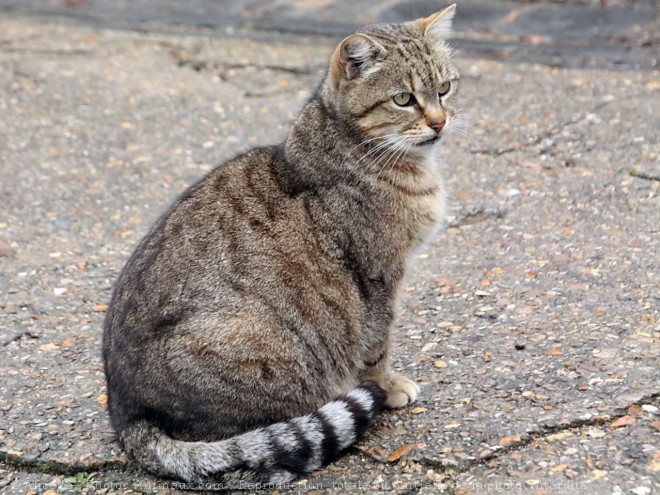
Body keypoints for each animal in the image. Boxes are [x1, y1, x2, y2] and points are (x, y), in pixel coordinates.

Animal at [103, 1, 462, 486]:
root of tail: (126, 415)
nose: (440, 122)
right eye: (403, 99)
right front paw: (388, 387)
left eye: (444, 88)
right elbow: (377, 345)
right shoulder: (377, 277)